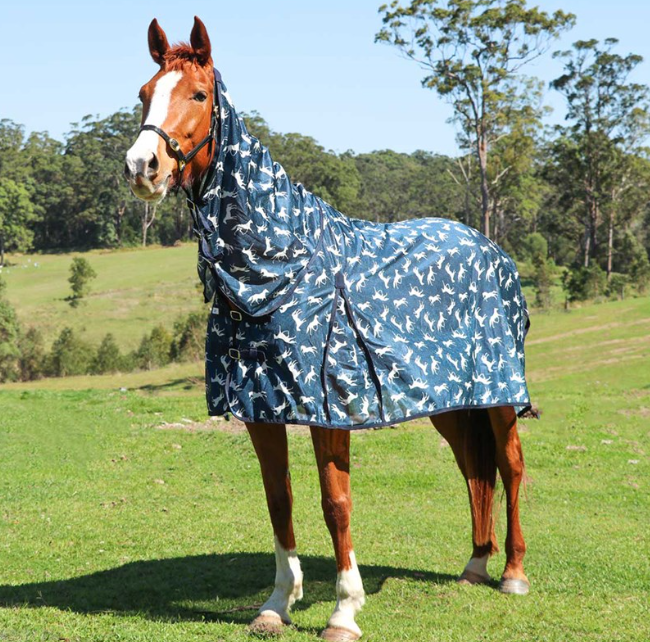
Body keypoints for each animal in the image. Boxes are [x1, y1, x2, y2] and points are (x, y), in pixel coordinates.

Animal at [124, 17, 531, 641]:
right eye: (145, 93)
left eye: (197, 94)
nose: (142, 167)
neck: (278, 266)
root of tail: (488, 247)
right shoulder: (261, 407)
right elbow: (279, 500)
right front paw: (276, 604)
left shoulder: (326, 410)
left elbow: (335, 503)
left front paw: (344, 609)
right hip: (451, 402)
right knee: (472, 468)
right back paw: (474, 564)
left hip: (501, 395)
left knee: (510, 467)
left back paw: (512, 573)